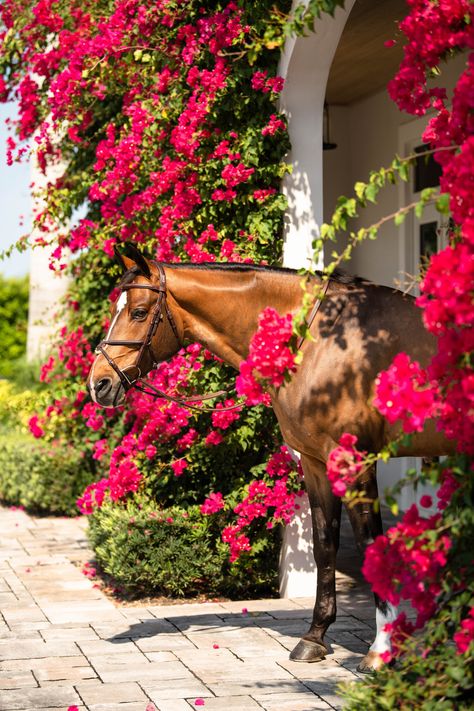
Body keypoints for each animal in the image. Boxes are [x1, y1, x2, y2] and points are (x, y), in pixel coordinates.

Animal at [87, 249, 454, 672]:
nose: (98, 384)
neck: (319, 341)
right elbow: (324, 544)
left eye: (139, 311)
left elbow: (370, 544)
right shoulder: (315, 463)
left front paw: (381, 649)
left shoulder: (355, 461)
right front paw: (314, 638)